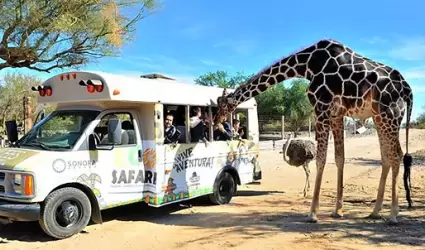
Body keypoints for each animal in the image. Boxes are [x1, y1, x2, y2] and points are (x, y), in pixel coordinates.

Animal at [214, 39, 412, 225]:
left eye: (222, 105)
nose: (216, 122)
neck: (306, 65)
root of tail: (408, 90)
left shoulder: (321, 107)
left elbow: (321, 159)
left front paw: (312, 213)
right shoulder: (337, 114)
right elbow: (339, 158)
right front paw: (338, 211)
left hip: (389, 114)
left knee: (396, 155)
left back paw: (393, 215)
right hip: (380, 117)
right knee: (387, 156)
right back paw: (375, 211)